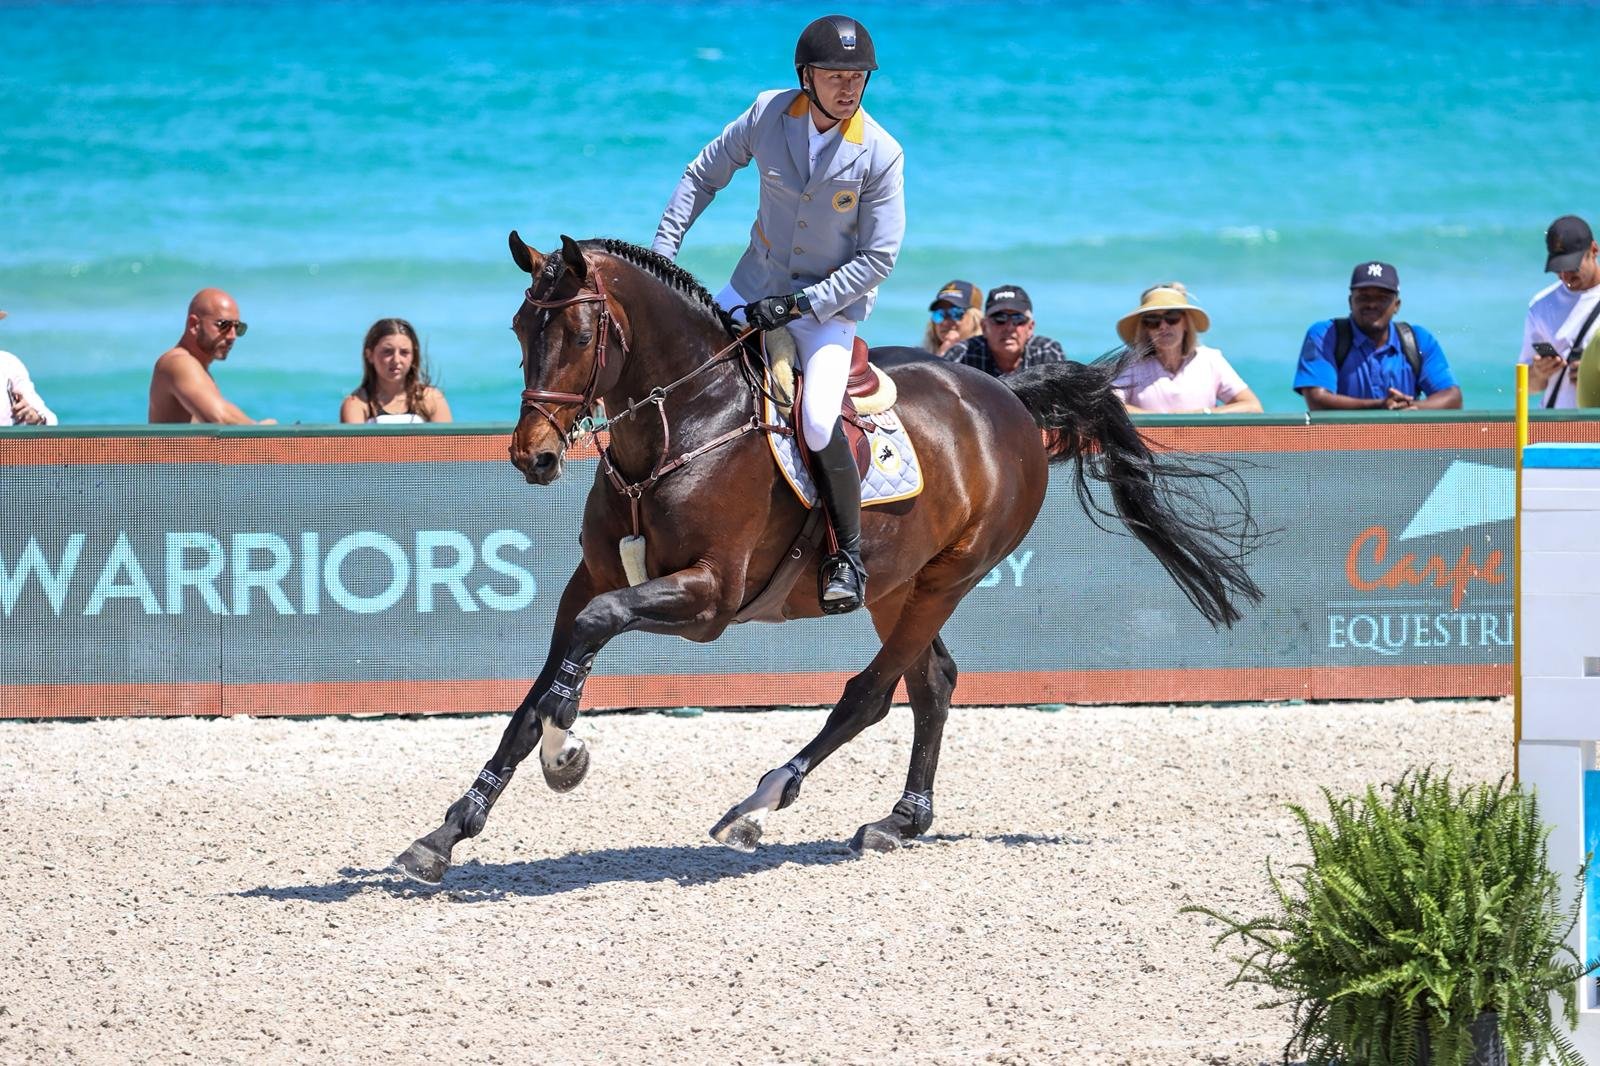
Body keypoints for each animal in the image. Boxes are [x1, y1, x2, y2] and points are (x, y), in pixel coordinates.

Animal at [393, 233, 1262, 884]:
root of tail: (1007, 397)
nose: (532, 457)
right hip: (896, 582)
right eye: (518, 329)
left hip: (949, 576)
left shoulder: (707, 598)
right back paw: (900, 821)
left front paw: (567, 749)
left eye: (578, 335)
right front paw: (452, 828)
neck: (679, 428)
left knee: (873, 694)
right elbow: (537, 687)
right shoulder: (591, 581)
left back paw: (759, 804)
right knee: (933, 682)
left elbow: (587, 645)